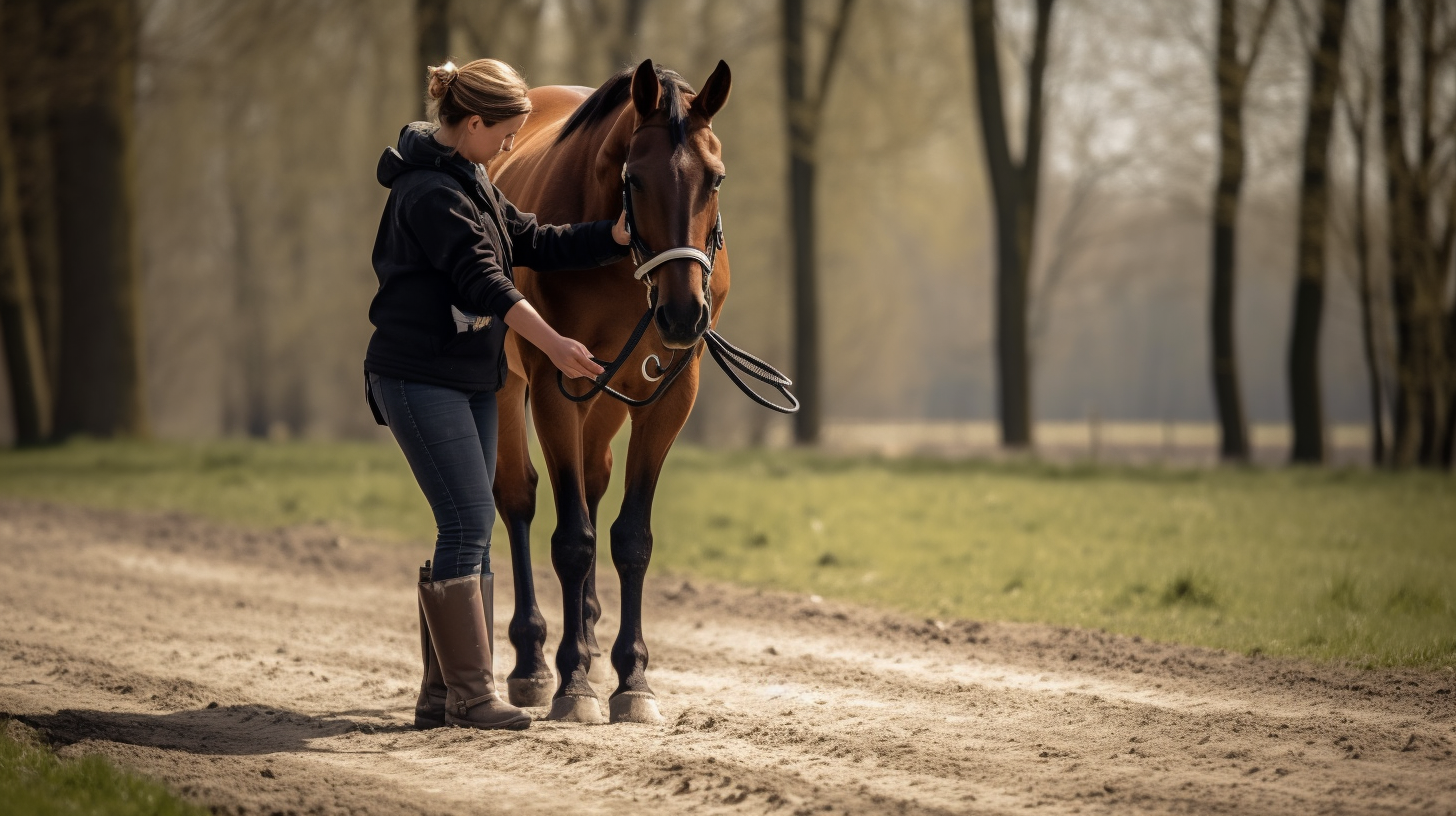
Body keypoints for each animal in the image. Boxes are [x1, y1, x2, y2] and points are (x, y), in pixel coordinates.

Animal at [489, 57, 733, 722]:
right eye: (635, 179)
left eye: (716, 178)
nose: (683, 313)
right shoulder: (556, 381)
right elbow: (573, 539)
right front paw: (573, 683)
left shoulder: (669, 392)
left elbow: (630, 538)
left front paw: (633, 678)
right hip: (511, 384)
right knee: (517, 497)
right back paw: (533, 660)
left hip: (609, 398)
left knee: (594, 482)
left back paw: (593, 640)